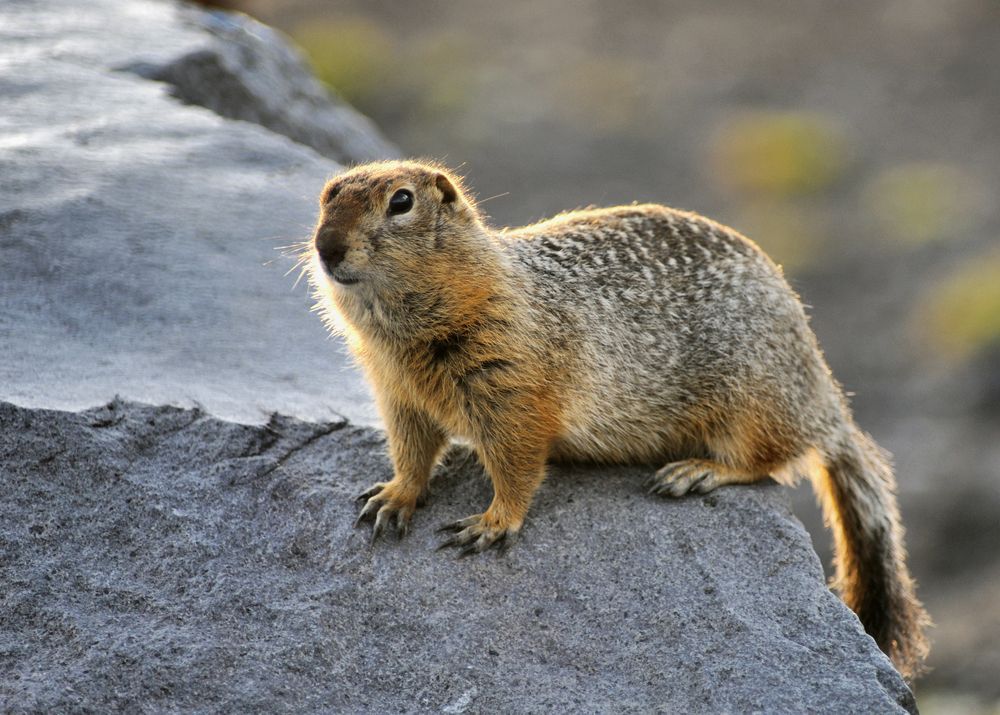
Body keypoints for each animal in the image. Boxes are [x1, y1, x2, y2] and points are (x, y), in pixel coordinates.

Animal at [305, 159, 930, 680]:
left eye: (401, 201)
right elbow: (410, 449)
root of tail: (824, 398)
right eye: (327, 194)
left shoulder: (514, 385)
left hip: (753, 401)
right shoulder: (397, 393)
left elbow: (518, 460)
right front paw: (392, 497)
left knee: (769, 459)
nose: (325, 247)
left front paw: (490, 523)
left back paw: (695, 471)